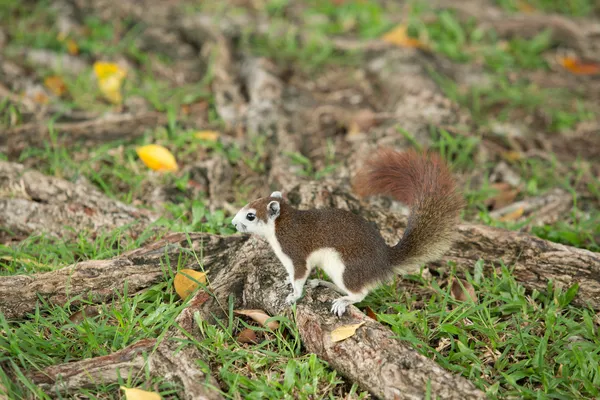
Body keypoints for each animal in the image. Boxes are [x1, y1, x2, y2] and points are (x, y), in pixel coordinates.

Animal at [231, 147, 464, 316]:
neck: (281, 225)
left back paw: (343, 301)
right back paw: (321, 282)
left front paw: (294, 295)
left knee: (359, 294)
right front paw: (289, 281)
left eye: (250, 216)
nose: (233, 223)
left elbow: (299, 275)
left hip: (345, 268)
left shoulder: (295, 251)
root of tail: (384, 262)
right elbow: (293, 275)